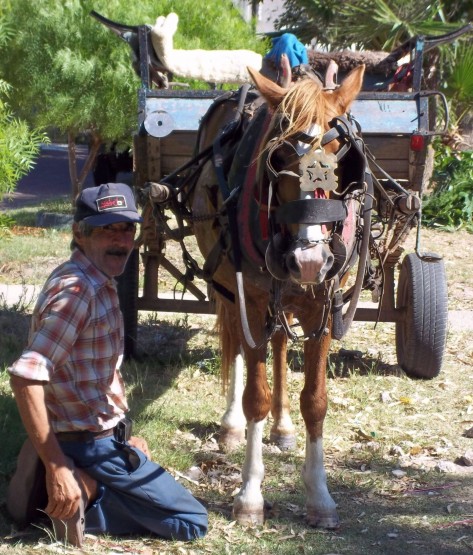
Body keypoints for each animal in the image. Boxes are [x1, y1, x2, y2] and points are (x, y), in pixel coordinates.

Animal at [184, 63, 366, 528]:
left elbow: (315, 401)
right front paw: (249, 496)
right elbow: (256, 398)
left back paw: (283, 428)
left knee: (281, 342)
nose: (309, 258)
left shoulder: (323, 304)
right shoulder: (251, 300)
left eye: (339, 152)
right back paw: (231, 426)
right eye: (279, 158)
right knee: (236, 343)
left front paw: (319, 496)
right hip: (233, 291)